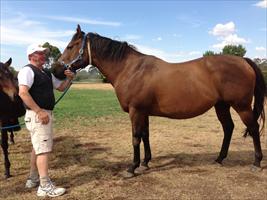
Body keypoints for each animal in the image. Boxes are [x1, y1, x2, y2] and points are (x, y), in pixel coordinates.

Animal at [58, 25, 266, 178]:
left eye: (70, 46)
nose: (56, 69)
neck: (130, 69)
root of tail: (244, 61)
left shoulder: (136, 111)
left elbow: (135, 137)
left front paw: (132, 168)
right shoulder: (143, 112)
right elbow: (145, 135)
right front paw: (145, 163)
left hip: (241, 106)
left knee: (253, 128)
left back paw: (256, 162)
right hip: (221, 105)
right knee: (228, 128)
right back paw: (219, 159)